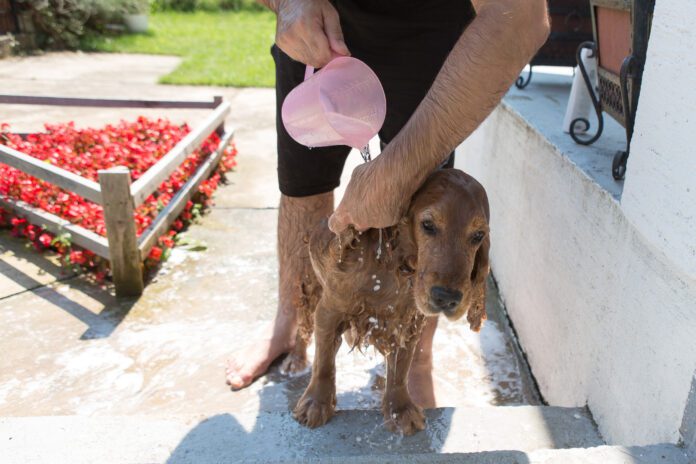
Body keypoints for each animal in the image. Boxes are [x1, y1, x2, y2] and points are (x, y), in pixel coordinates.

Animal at [286, 169, 486, 436]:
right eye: (428, 225)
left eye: (478, 235)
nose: (446, 297)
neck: (395, 268)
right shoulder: (330, 311)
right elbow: (324, 363)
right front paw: (316, 404)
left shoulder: (408, 323)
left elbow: (400, 368)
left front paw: (400, 409)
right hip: (310, 291)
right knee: (303, 329)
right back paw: (295, 360)